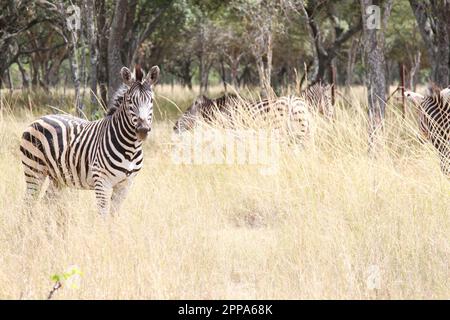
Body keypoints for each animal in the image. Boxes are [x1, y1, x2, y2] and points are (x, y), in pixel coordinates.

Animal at [21, 64, 162, 215]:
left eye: (151, 101)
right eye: (130, 101)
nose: (143, 130)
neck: (131, 148)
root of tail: (39, 118)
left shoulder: (125, 185)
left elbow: (114, 215)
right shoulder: (102, 182)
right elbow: (103, 215)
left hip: (57, 177)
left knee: (47, 201)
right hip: (34, 170)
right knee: (28, 202)